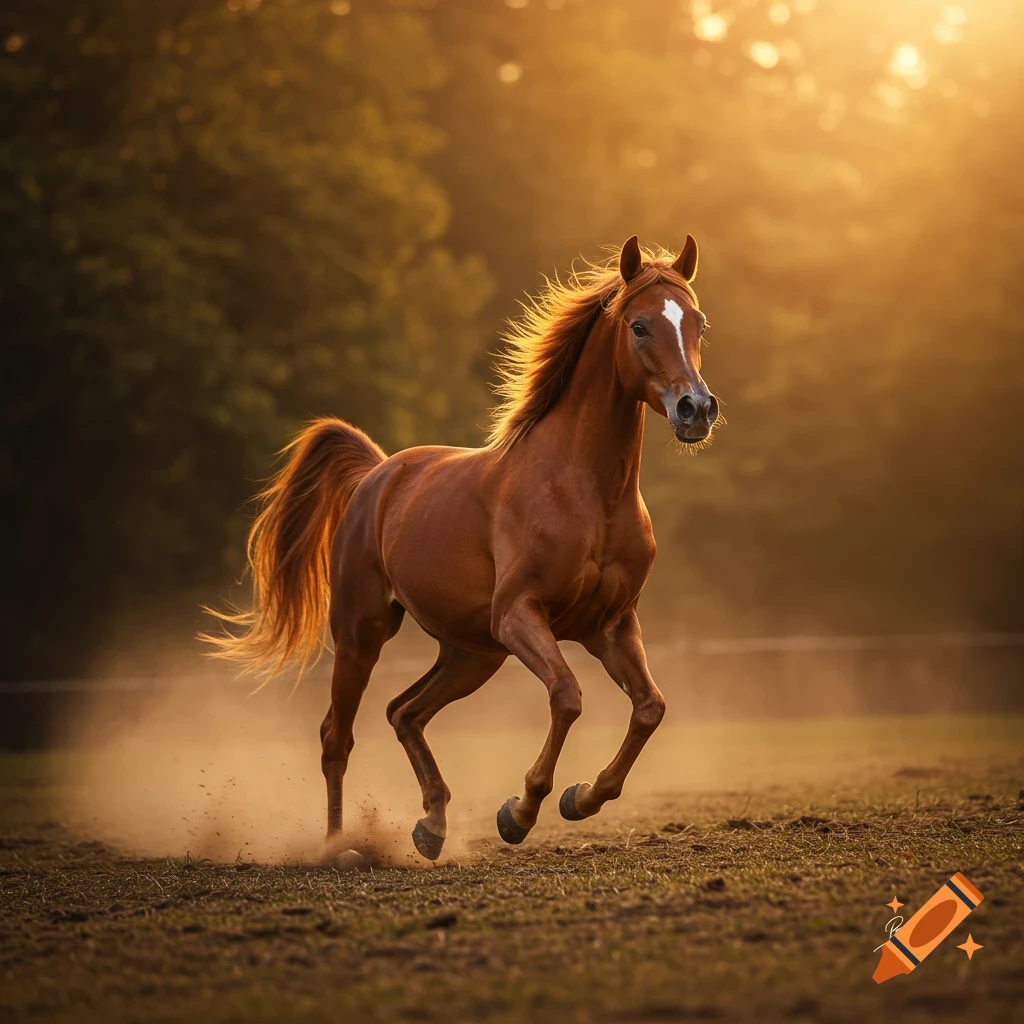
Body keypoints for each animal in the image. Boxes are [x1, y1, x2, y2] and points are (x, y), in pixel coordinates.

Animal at [204, 234, 720, 860]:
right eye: (641, 326)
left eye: (698, 322)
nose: (696, 409)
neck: (586, 490)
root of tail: (377, 473)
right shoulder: (520, 614)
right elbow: (568, 696)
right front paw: (519, 812)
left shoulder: (610, 625)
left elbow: (649, 707)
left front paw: (581, 798)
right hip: (364, 633)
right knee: (336, 736)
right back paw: (337, 846)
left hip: (472, 654)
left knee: (403, 712)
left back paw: (432, 825)